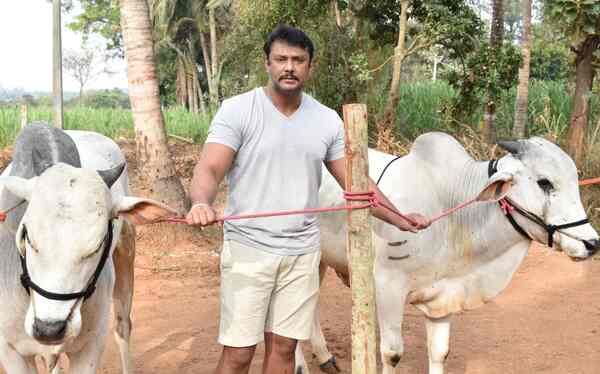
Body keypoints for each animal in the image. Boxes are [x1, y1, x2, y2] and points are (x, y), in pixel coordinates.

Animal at [0, 123, 173, 374]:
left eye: (98, 245)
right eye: (27, 237)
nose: (50, 329)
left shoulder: (90, 347)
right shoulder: (10, 350)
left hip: (126, 252)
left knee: (123, 326)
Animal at [302, 133, 596, 372]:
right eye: (545, 183)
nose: (592, 243)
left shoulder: (444, 296)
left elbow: (440, 352)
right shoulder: (388, 286)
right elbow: (392, 354)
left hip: (319, 260)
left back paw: (325, 357)